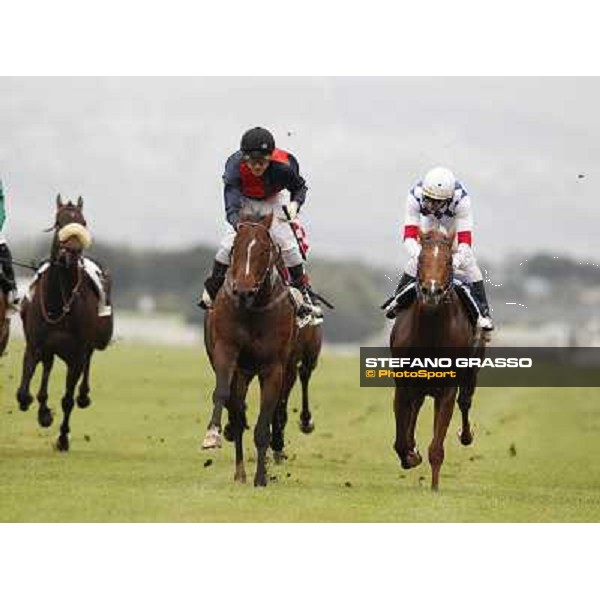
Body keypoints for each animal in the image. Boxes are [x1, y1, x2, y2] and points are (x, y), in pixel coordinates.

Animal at [16, 196, 113, 450]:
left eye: (83, 222)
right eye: (59, 222)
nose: (73, 251)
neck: (58, 303)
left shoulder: (77, 352)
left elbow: (68, 399)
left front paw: (62, 438)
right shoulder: (36, 344)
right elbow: (24, 391)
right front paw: (40, 410)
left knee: (87, 363)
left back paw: (83, 396)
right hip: (50, 350)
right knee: (47, 369)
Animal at [202, 211, 296, 488]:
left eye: (265, 249)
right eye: (235, 247)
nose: (243, 290)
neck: (253, 310)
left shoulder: (274, 368)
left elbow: (264, 422)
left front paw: (262, 477)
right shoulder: (226, 351)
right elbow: (222, 394)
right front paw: (213, 434)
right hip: (241, 371)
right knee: (236, 408)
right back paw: (239, 470)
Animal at [392, 227, 486, 490]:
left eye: (449, 261)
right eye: (421, 260)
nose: (432, 291)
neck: (431, 332)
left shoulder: (447, 389)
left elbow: (437, 446)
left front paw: (434, 487)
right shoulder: (403, 383)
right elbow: (400, 437)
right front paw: (410, 455)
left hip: (471, 371)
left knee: (465, 401)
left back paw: (465, 435)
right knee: (415, 408)